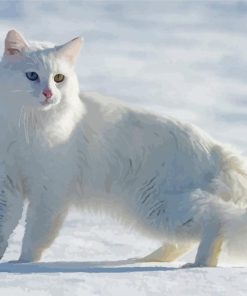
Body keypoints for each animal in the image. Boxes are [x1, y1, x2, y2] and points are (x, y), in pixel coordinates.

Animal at [0, 28, 247, 268]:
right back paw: (147, 259)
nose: (48, 93)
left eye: (59, 78)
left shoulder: (49, 190)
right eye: (32, 75)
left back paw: (199, 265)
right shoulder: (7, 185)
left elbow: (35, 235)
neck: (27, 129)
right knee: (188, 238)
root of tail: (218, 150)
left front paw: (23, 265)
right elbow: (5, 227)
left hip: (159, 206)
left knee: (216, 220)